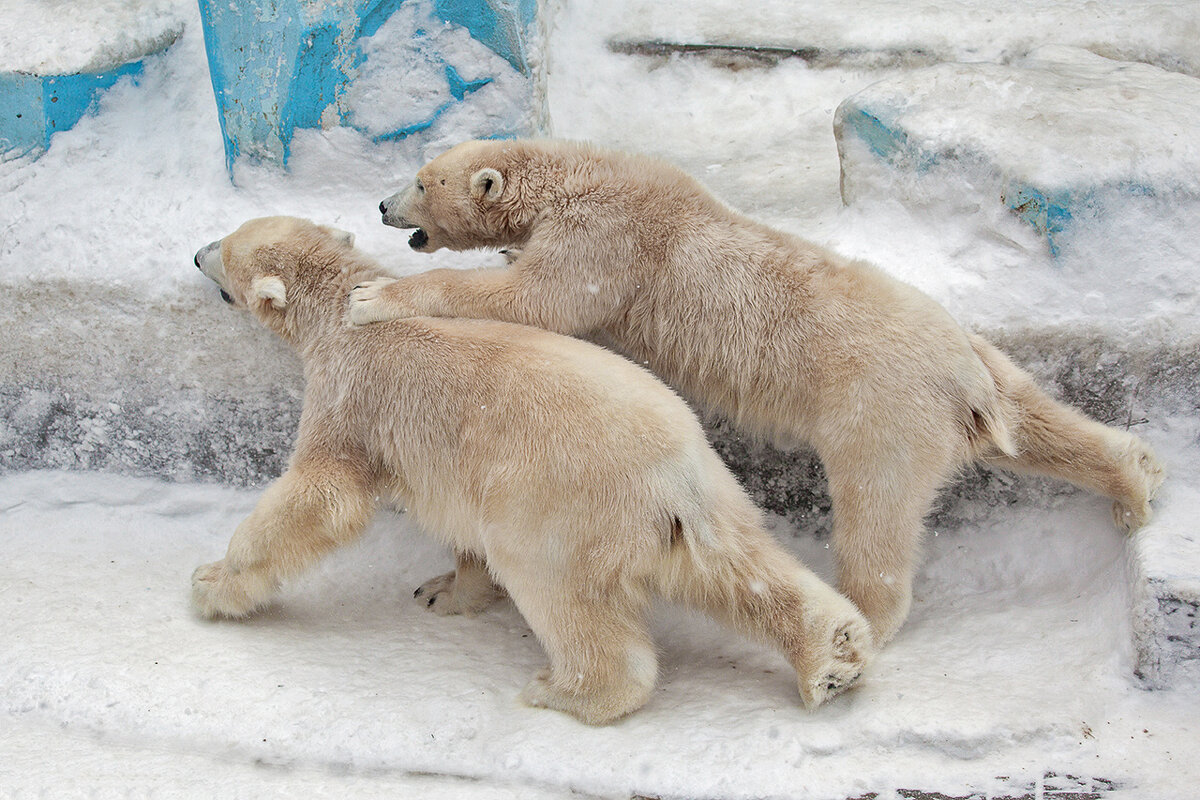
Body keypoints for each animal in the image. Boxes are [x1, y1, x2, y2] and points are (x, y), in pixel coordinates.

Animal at [192, 215, 878, 724]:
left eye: (224, 249)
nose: (196, 253)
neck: (337, 306)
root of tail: (671, 479)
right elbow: (458, 528)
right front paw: (442, 589)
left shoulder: (349, 394)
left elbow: (322, 494)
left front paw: (210, 583)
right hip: (715, 493)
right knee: (741, 570)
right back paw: (834, 657)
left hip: (556, 511)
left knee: (558, 592)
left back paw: (563, 690)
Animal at [352, 140, 1161, 647]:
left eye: (421, 180)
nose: (382, 207)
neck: (579, 174)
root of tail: (958, 376)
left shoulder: (606, 241)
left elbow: (533, 300)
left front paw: (373, 298)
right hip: (987, 368)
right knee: (1043, 426)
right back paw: (1135, 483)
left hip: (881, 413)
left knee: (878, 517)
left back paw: (863, 620)